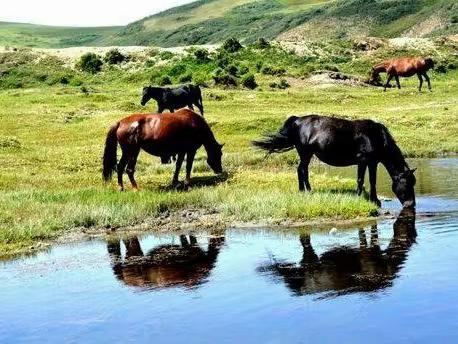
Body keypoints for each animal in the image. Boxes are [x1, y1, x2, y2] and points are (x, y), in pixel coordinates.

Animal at [252, 114, 416, 208]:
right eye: (407, 184)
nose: (411, 205)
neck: (375, 137)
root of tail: (297, 120)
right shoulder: (364, 160)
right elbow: (362, 179)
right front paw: (364, 198)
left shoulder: (372, 163)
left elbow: (371, 180)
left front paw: (374, 199)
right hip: (305, 153)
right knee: (301, 170)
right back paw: (304, 191)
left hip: (307, 154)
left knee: (303, 170)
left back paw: (307, 190)